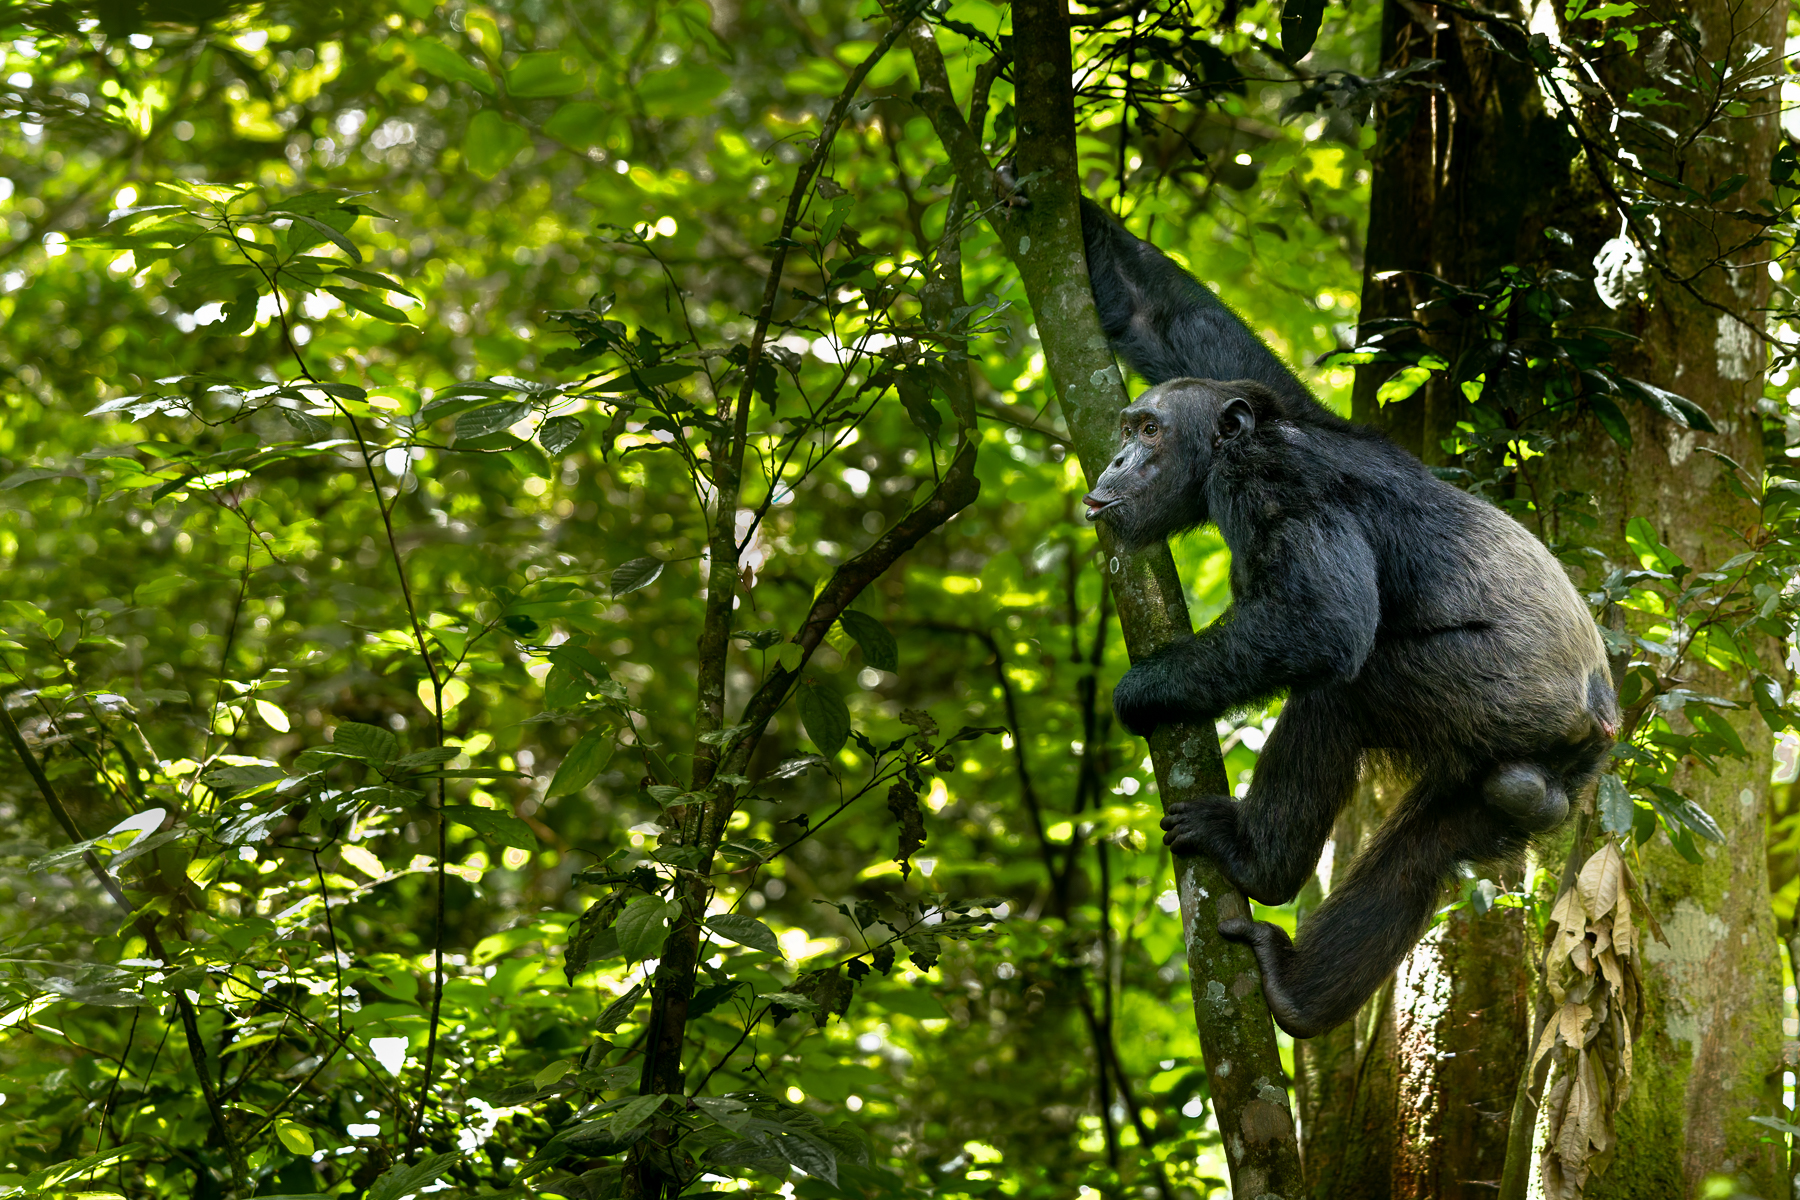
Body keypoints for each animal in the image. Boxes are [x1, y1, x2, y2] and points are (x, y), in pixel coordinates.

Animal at [1076, 199, 1617, 1038]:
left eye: (1149, 432)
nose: (1116, 462)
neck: (1237, 448)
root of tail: (1596, 722)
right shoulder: (1283, 400)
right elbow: (1159, 315)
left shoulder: (1272, 480)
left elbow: (1324, 620)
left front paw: (1143, 691)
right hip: (1522, 772)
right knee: (1429, 848)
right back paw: (1300, 990)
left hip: (1497, 693)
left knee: (1341, 699)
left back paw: (1256, 860)